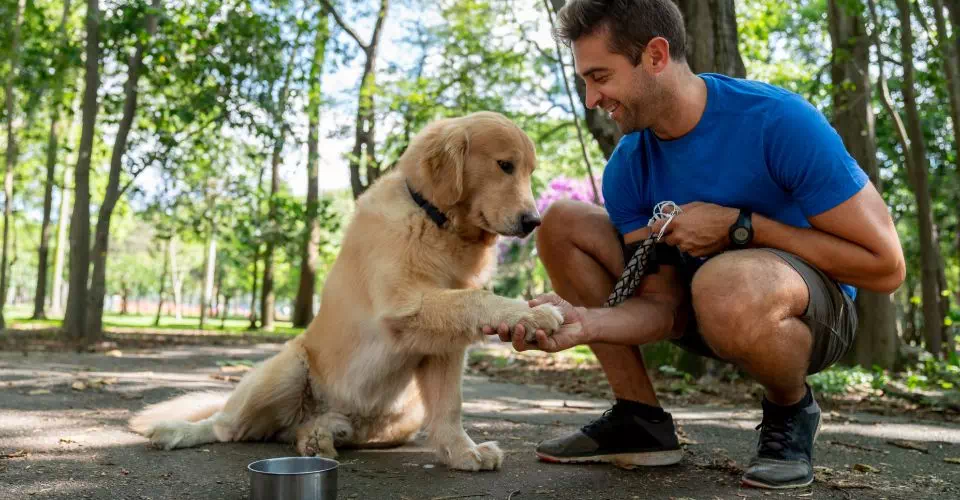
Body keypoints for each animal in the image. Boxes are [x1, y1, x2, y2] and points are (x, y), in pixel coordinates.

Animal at [127, 111, 564, 470]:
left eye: (529, 171)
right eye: (504, 166)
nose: (534, 221)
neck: (436, 221)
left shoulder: (443, 347)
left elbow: (450, 408)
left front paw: (462, 453)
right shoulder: (402, 306)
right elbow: (476, 298)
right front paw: (531, 313)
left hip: (401, 414)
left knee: (305, 431)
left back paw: (322, 434)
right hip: (286, 370)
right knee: (226, 426)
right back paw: (175, 432)